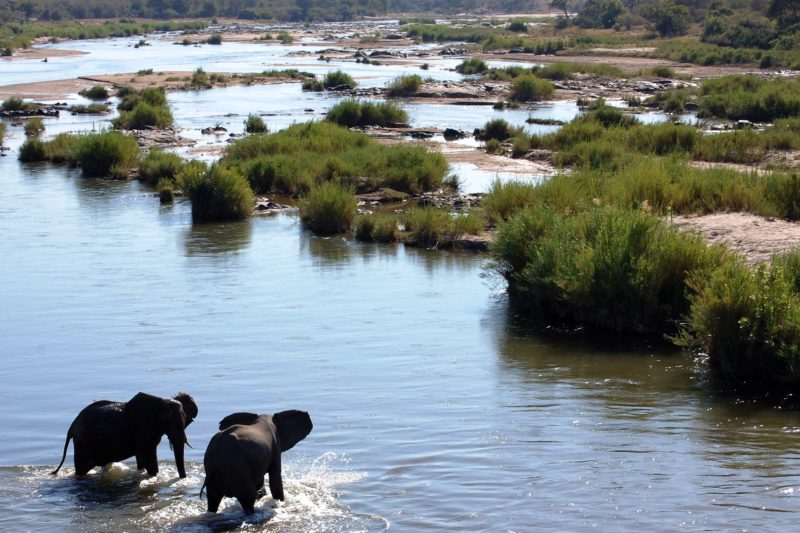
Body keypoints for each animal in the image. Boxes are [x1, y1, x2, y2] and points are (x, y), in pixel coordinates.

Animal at [51, 390, 198, 478]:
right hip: (84, 444)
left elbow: (141, 460)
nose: (183, 479)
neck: (160, 402)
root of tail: (70, 429)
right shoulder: (142, 432)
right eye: (170, 422)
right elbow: (149, 460)